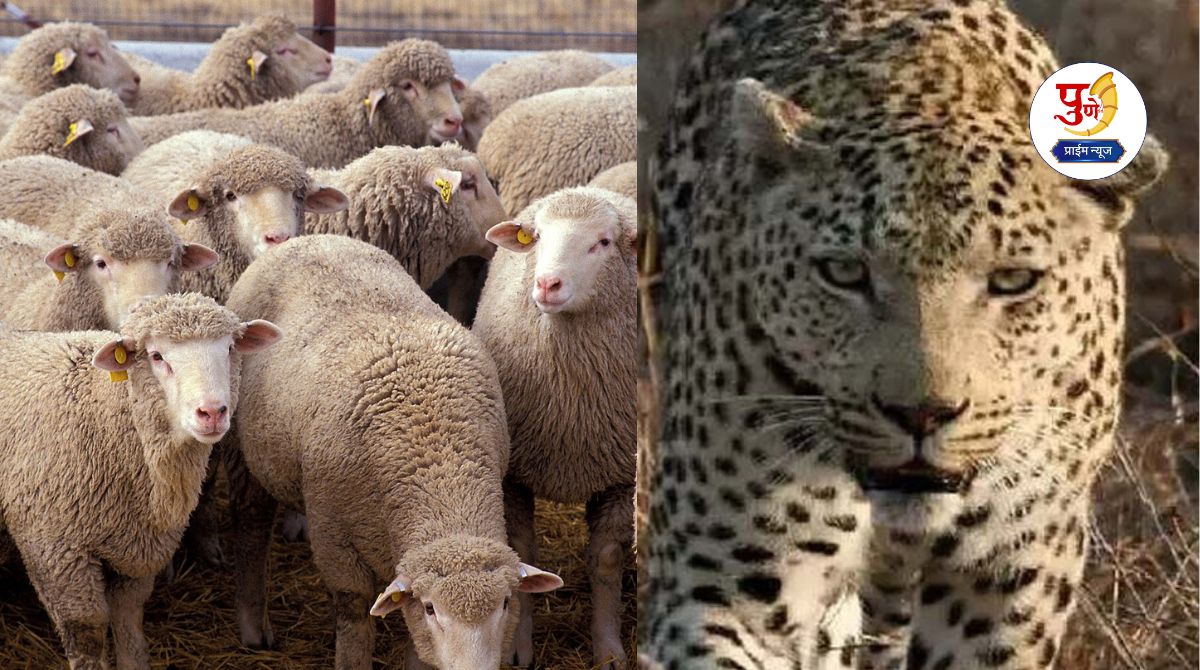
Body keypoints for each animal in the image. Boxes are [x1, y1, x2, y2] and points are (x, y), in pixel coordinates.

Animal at [0, 292, 281, 670]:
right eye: (157, 356)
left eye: (230, 349)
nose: (212, 412)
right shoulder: (54, 548)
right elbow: (87, 633)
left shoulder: (138, 545)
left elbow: (128, 621)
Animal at [223, 233, 563, 669]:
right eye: (433, 608)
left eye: (505, 603)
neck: (439, 465)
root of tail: (312, 238)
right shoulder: (334, 535)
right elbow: (353, 611)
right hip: (243, 452)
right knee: (251, 525)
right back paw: (253, 624)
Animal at [472, 187, 637, 669]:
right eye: (539, 236)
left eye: (603, 242)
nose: (547, 284)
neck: (571, 403)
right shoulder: (513, 474)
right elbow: (521, 553)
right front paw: (518, 647)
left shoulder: (621, 475)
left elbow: (606, 560)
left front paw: (609, 648)